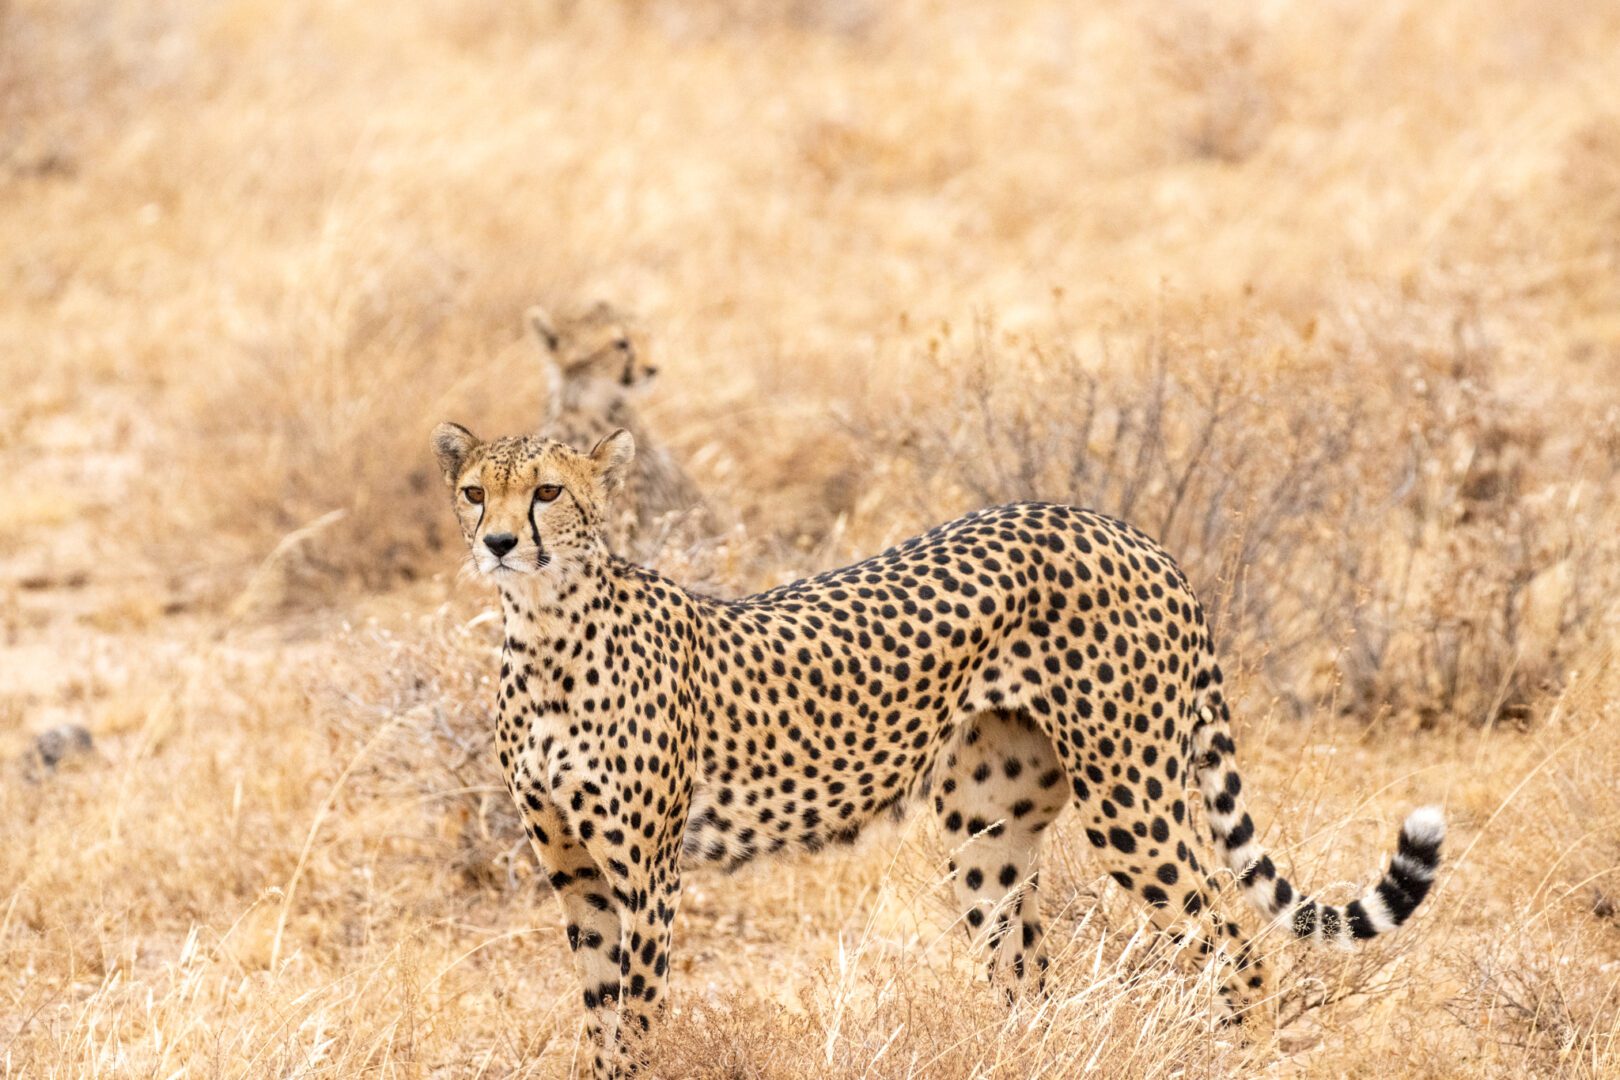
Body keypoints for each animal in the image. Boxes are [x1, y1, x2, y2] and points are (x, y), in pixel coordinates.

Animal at [427, 420, 1445, 1075]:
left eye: (548, 491)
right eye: (475, 492)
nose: (500, 542)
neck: (545, 631)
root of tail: (1122, 526)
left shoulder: (648, 873)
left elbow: (635, 1018)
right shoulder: (576, 872)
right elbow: (599, 1013)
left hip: (1132, 800)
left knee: (1238, 940)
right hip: (986, 833)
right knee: (1031, 977)